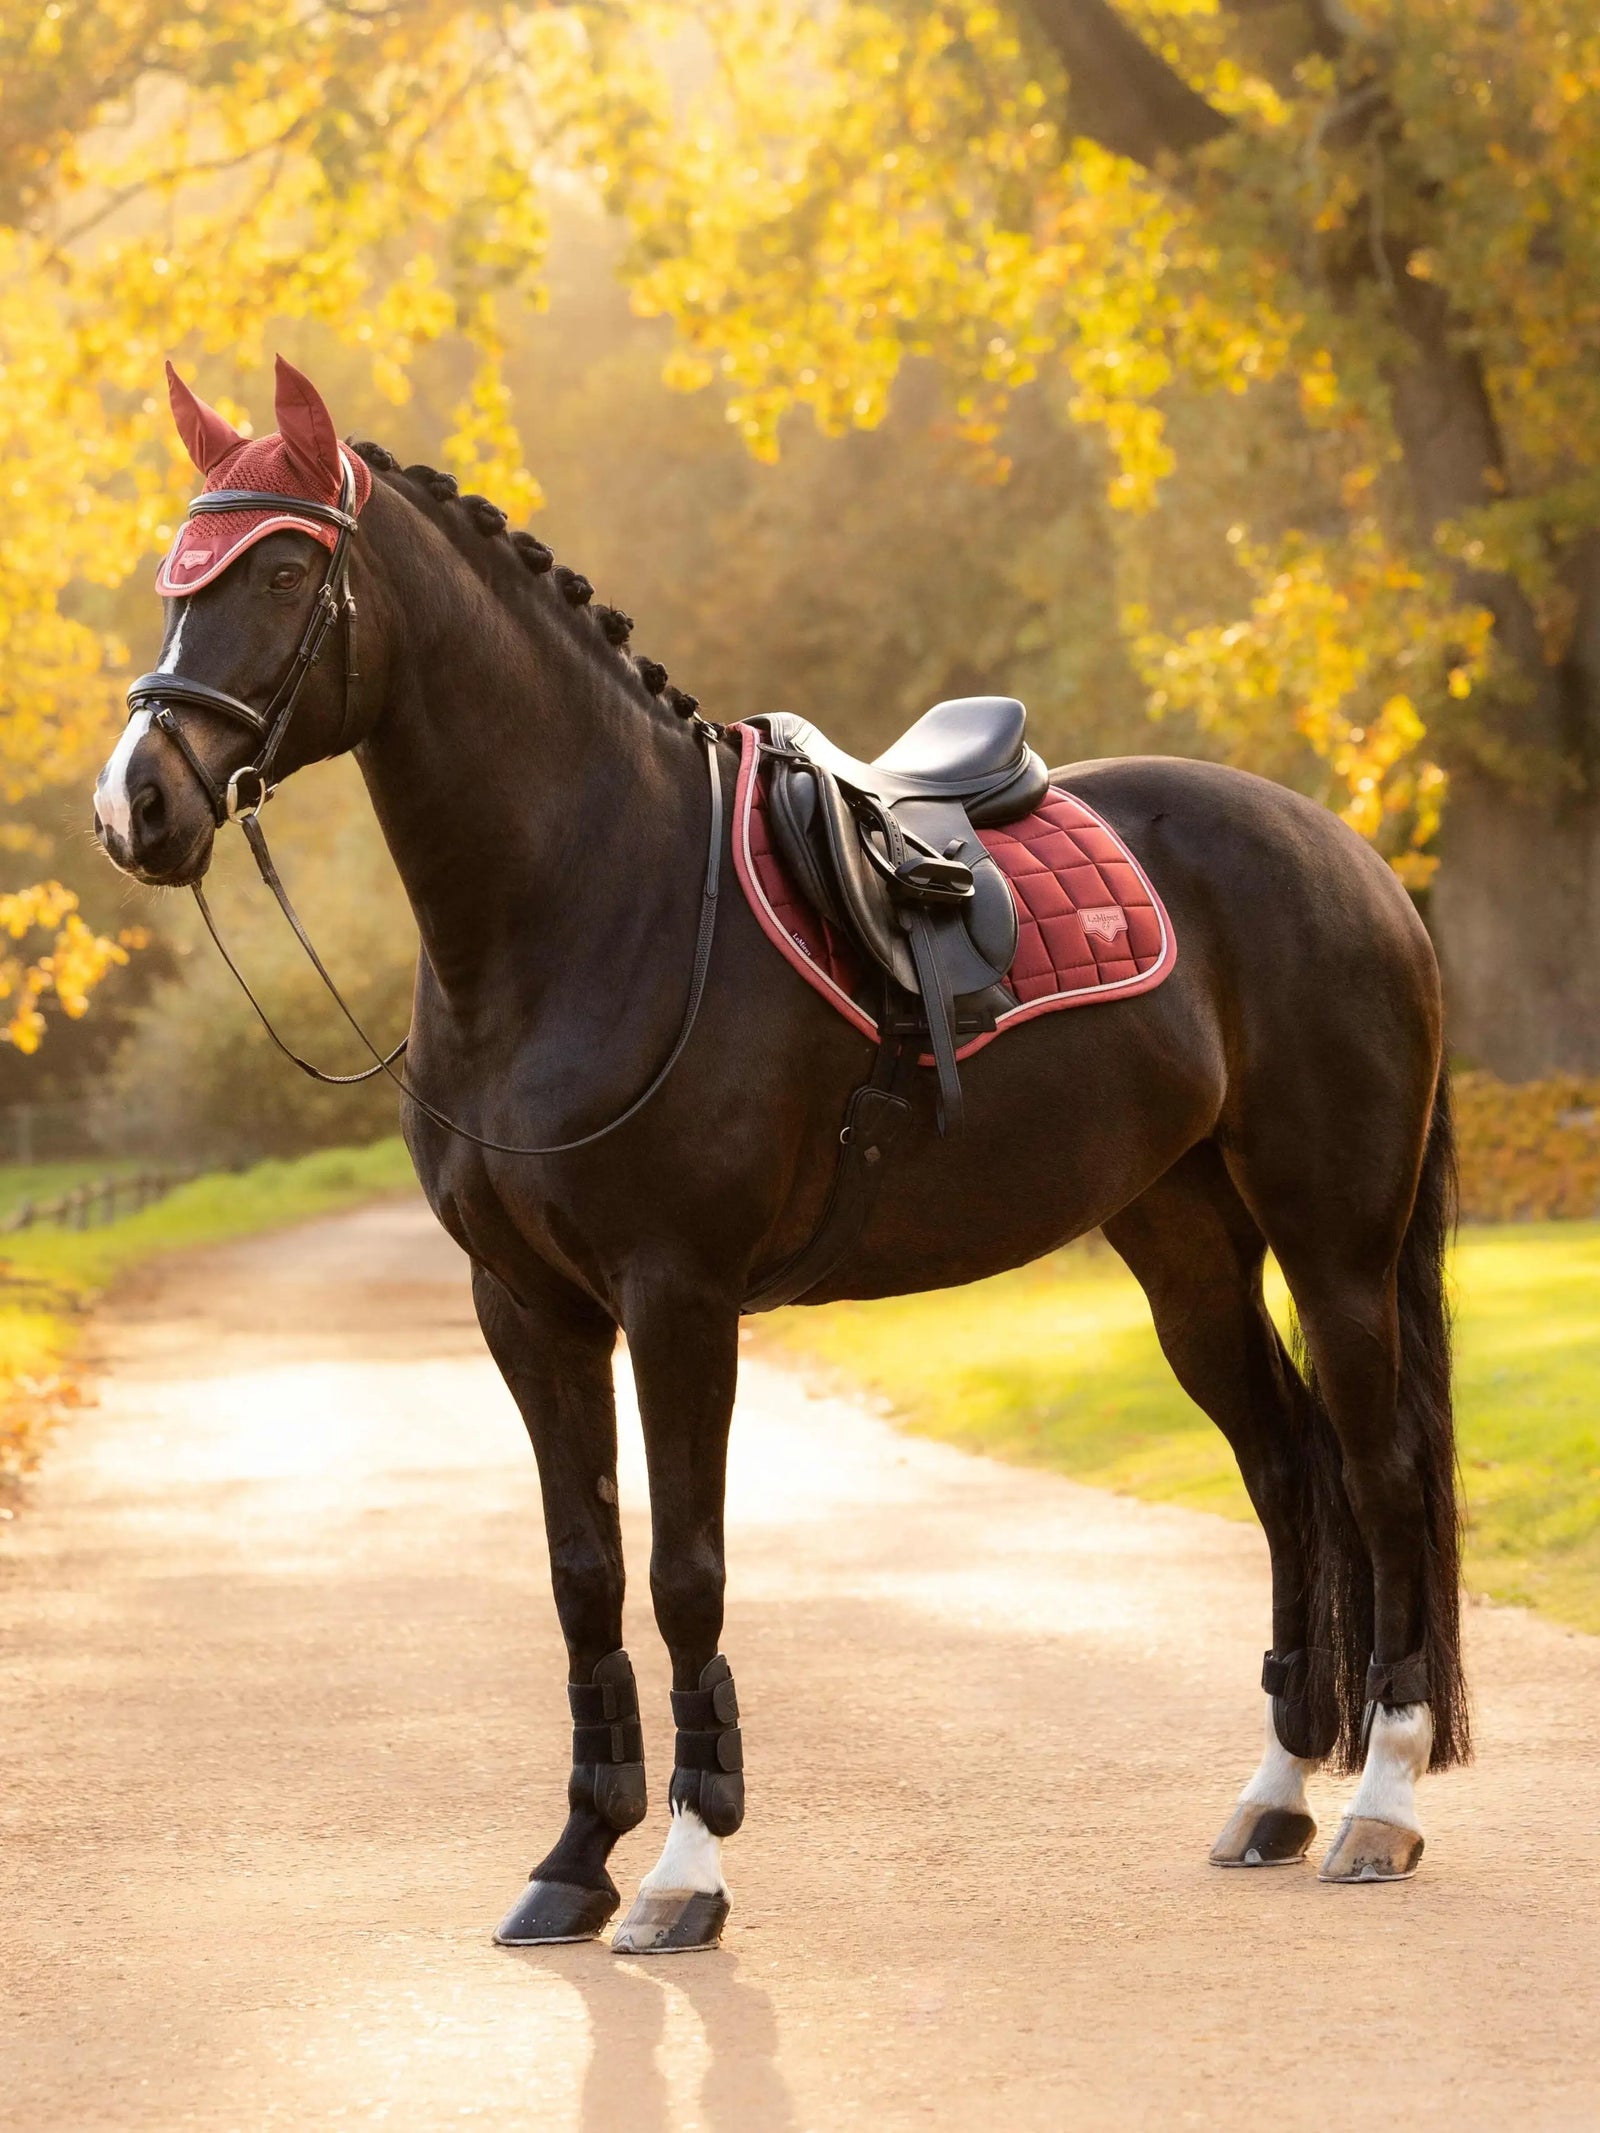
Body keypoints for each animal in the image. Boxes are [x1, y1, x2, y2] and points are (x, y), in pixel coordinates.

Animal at [94, 356, 1467, 1953]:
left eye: (285, 567)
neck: (592, 901)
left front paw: (685, 1870)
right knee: (1287, 1470)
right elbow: (582, 1575)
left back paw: (1380, 1808)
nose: (137, 803)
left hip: (1338, 1241)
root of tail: (1349, 854)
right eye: (177, 571)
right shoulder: (528, 1310)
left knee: (1378, 1475)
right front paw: (574, 1859)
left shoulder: (678, 1298)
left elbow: (685, 1573)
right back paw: (1274, 1796)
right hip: (1185, 1253)